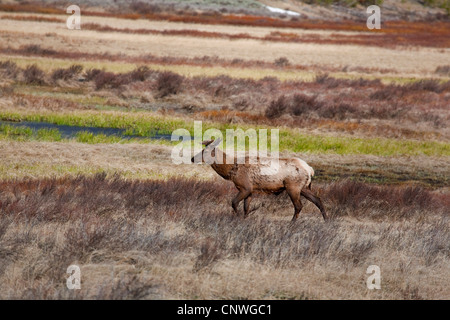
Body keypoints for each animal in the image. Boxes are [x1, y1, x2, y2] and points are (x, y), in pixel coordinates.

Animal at [191, 139, 326, 221]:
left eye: (205, 151)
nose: (192, 158)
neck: (231, 170)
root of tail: (310, 169)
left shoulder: (245, 187)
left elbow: (234, 203)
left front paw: (237, 217)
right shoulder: (250, 190)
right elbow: (246, 208)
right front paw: (244, 219)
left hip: (293, 187)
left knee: (298, 206)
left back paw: (291, 223)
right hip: (304, 188)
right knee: (318, 200)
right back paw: (326, 219)